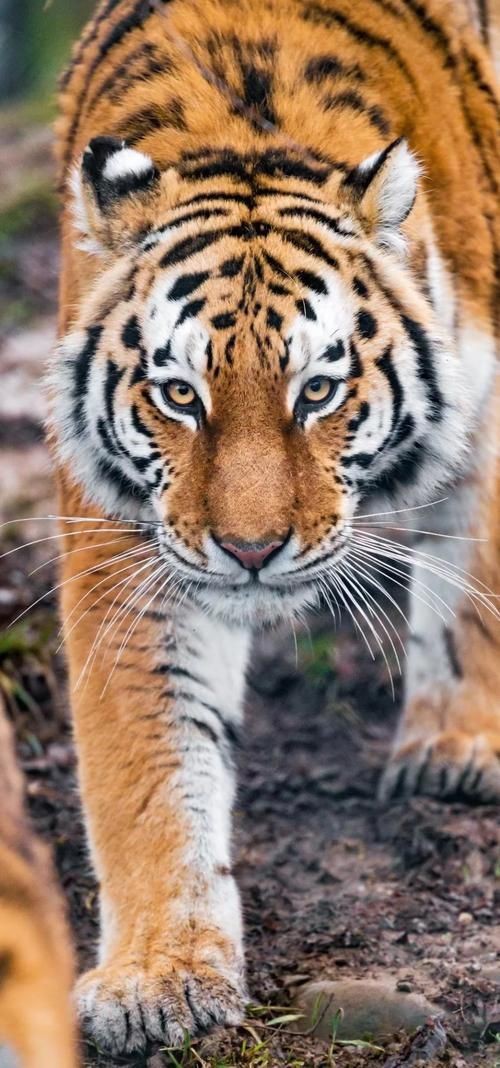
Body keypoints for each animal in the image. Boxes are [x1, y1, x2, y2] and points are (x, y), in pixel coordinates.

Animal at [49, 0, 499, 1055]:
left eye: (318, 391)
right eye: (180, 394)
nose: (251, 551)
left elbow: (477, 586)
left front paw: (457, 749)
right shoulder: (129, 541)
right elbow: (147, 762)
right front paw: (161, 977)